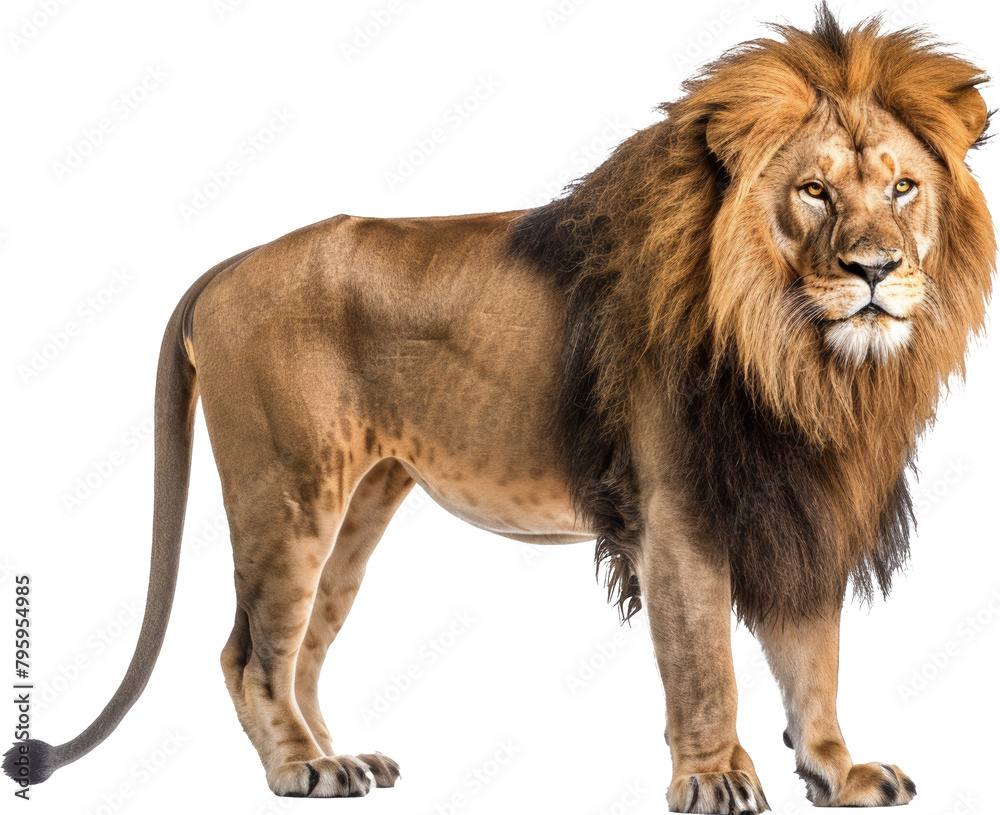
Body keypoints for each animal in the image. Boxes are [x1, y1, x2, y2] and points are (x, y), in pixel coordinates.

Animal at [3, 5, 993, 812]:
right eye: (814, 192)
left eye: (903, 187)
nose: (875, 269)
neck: (803, 361)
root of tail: (227, 262)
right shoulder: (678, 512)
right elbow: (707, 663)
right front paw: (715, 778)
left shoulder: (804, 501)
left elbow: (814, 658)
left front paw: (838, 769)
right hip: (286, 489)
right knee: (250, 652)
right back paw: (300, 769)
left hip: (359, 501)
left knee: (304, 649)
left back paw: (341, 758)